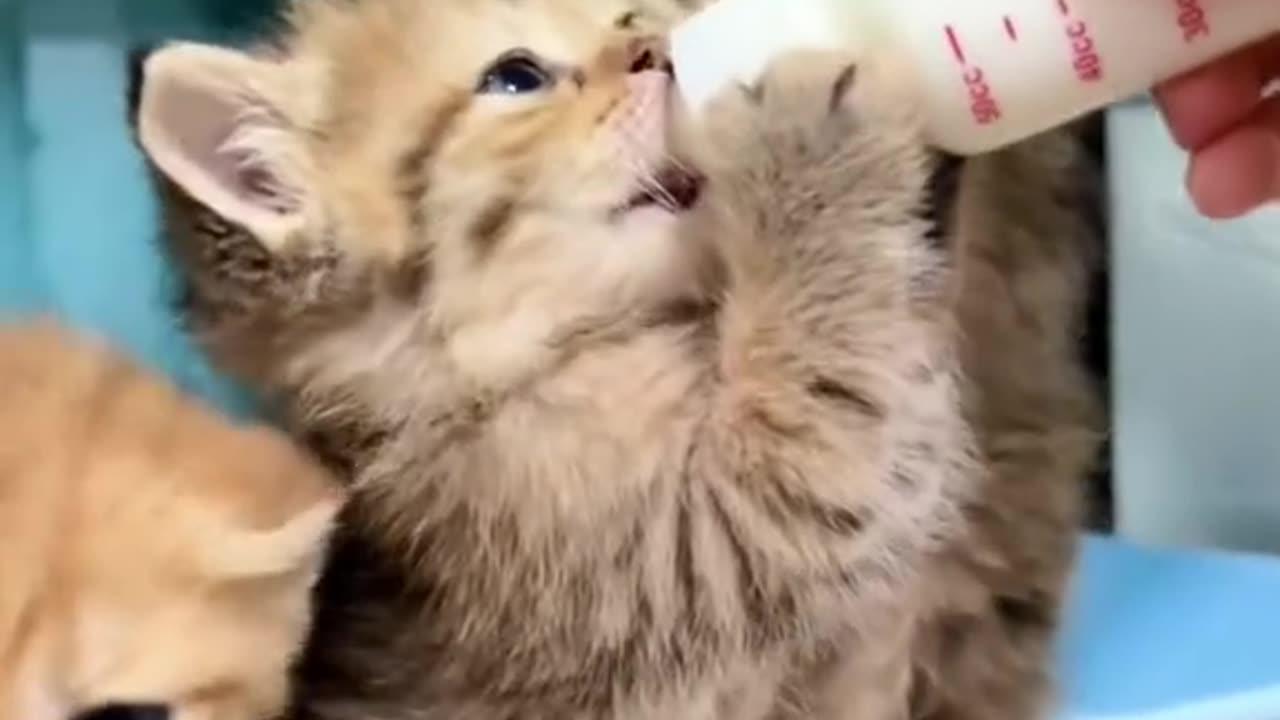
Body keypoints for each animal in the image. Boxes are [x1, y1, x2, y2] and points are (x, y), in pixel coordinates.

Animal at [127, 1, 1100, 717]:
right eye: (515, 77)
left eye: (631, 13)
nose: (659, 51)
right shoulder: (707, 548)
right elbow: (825, 423)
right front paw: (810, 145)